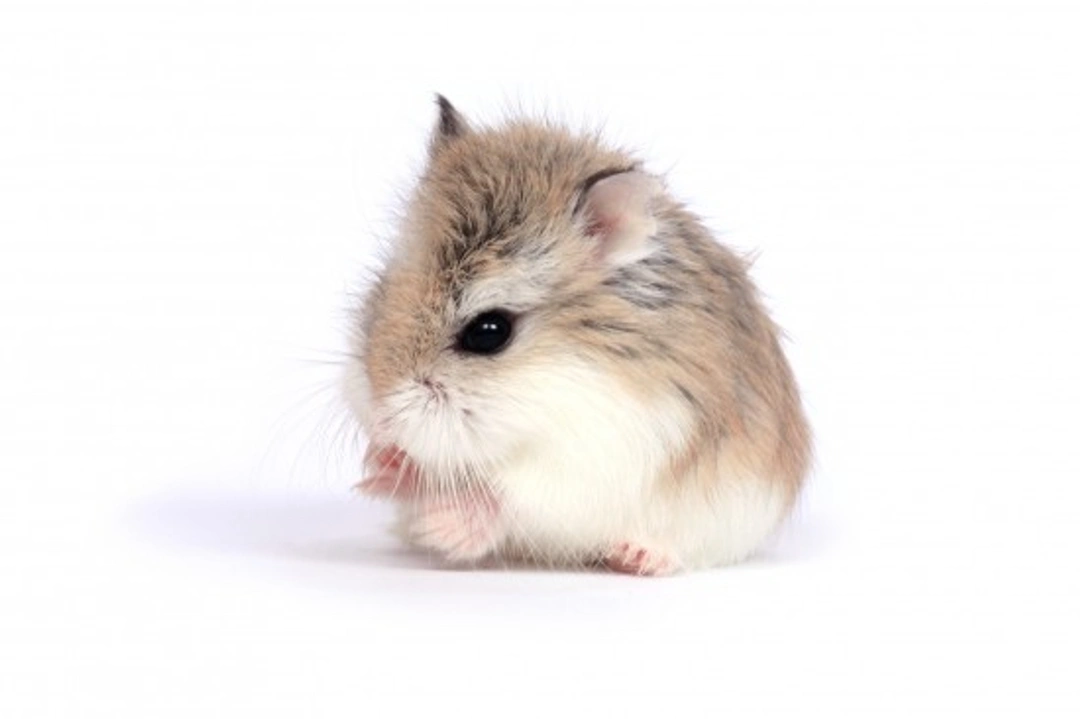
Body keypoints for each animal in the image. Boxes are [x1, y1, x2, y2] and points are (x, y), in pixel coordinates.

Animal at [343, 96, 811, 575]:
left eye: (489, 332)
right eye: (385, 288)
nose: (379, 416)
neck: (560, 371)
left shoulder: (598, 455)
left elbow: (510, 496)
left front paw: (442, 525)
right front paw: (383, 465)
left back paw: (636, 557)